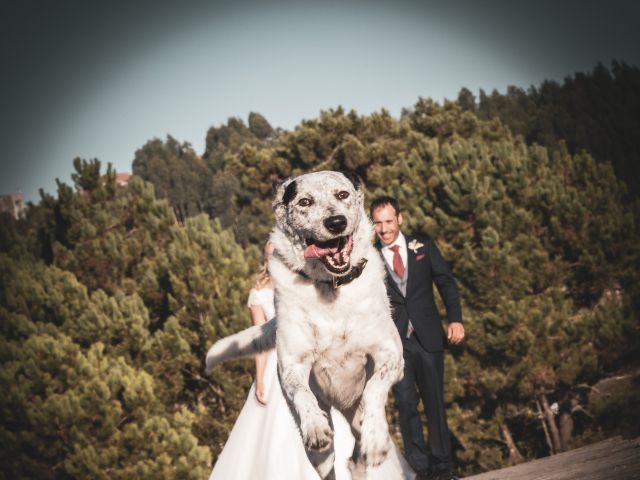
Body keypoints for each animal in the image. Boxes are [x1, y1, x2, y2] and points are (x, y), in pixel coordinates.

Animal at [208, 171, 402, 478]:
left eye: (343, 195)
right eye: (304, 202)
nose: (336, 222)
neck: (331, 287)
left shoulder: (391, 353)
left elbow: (374, 389)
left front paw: (377, 439)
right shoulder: (292, 363)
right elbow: (301, 392)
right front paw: (313, 425)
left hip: (356, 415)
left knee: (356, 454)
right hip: (323, 455)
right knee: (333, 463)